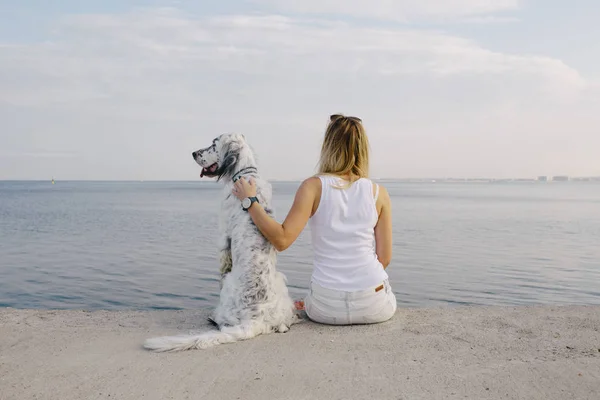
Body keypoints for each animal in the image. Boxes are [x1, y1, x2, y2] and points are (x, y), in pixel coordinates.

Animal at [145, 133, 300, 352]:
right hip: (281, 280)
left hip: (229, 284)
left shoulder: (223, 240)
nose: (193, 153)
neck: (245, 175)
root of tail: (255, 321)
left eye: (213, 144)